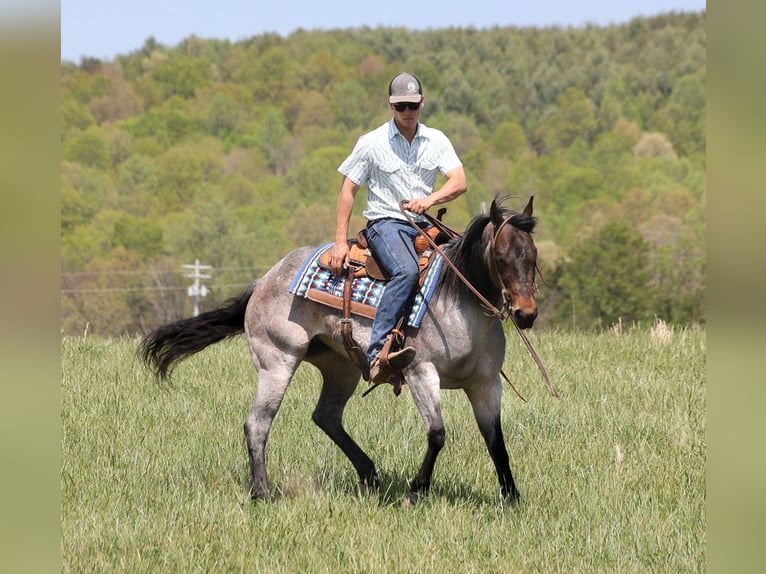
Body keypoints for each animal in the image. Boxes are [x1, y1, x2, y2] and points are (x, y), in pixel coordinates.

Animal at [141, 196, 544, 506]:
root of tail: (263, 280)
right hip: (277, 362)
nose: (526, 313)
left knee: (326, 416)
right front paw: (416, 492)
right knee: (257, 423)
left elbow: (495, 441)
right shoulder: (421, 373)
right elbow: (438, 434)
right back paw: (262, 493)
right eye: (501, 256)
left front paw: (512, 498)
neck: (456, 301)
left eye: (532, 255)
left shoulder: (486, 384)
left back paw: (369, 474)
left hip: (342, 368)